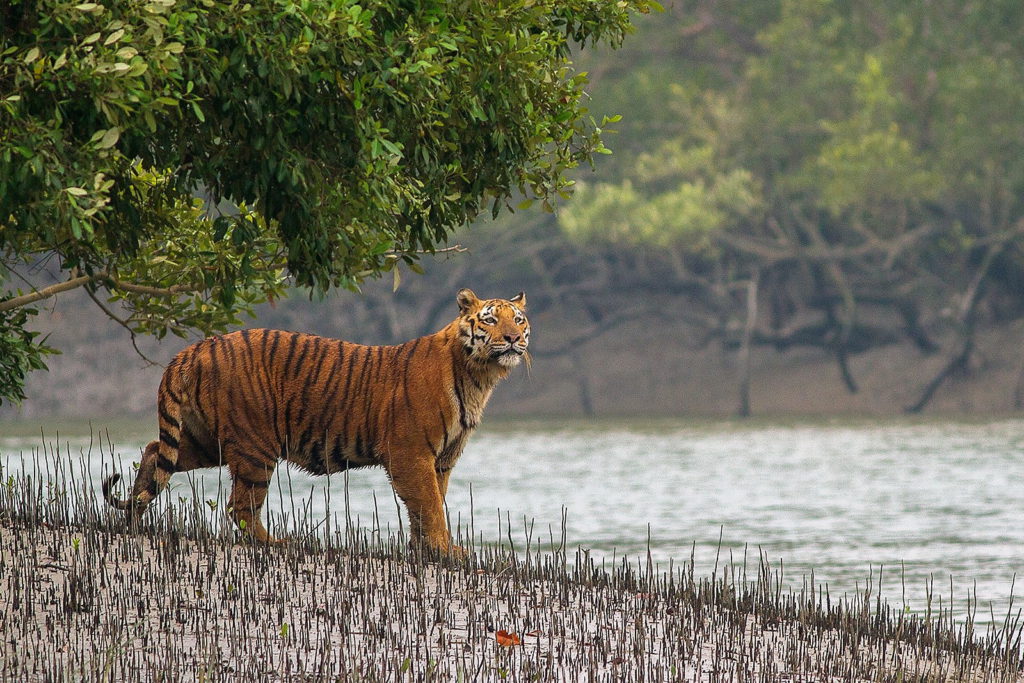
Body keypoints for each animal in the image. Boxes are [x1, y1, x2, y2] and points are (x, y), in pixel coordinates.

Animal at [102, 289, 530, 554]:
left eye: (519, 320)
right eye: (490, 321)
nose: (513, 338)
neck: (479, 375)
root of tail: (194, 348)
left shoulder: (442, 459)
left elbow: (429, 504)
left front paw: (426, 549)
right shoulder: (411, 453)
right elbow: (429, 505)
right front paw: (445, 550)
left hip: (206, 440)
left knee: (155, 451)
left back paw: (134, 520)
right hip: (255, 445)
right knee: (240, 506)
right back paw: (275, 543)